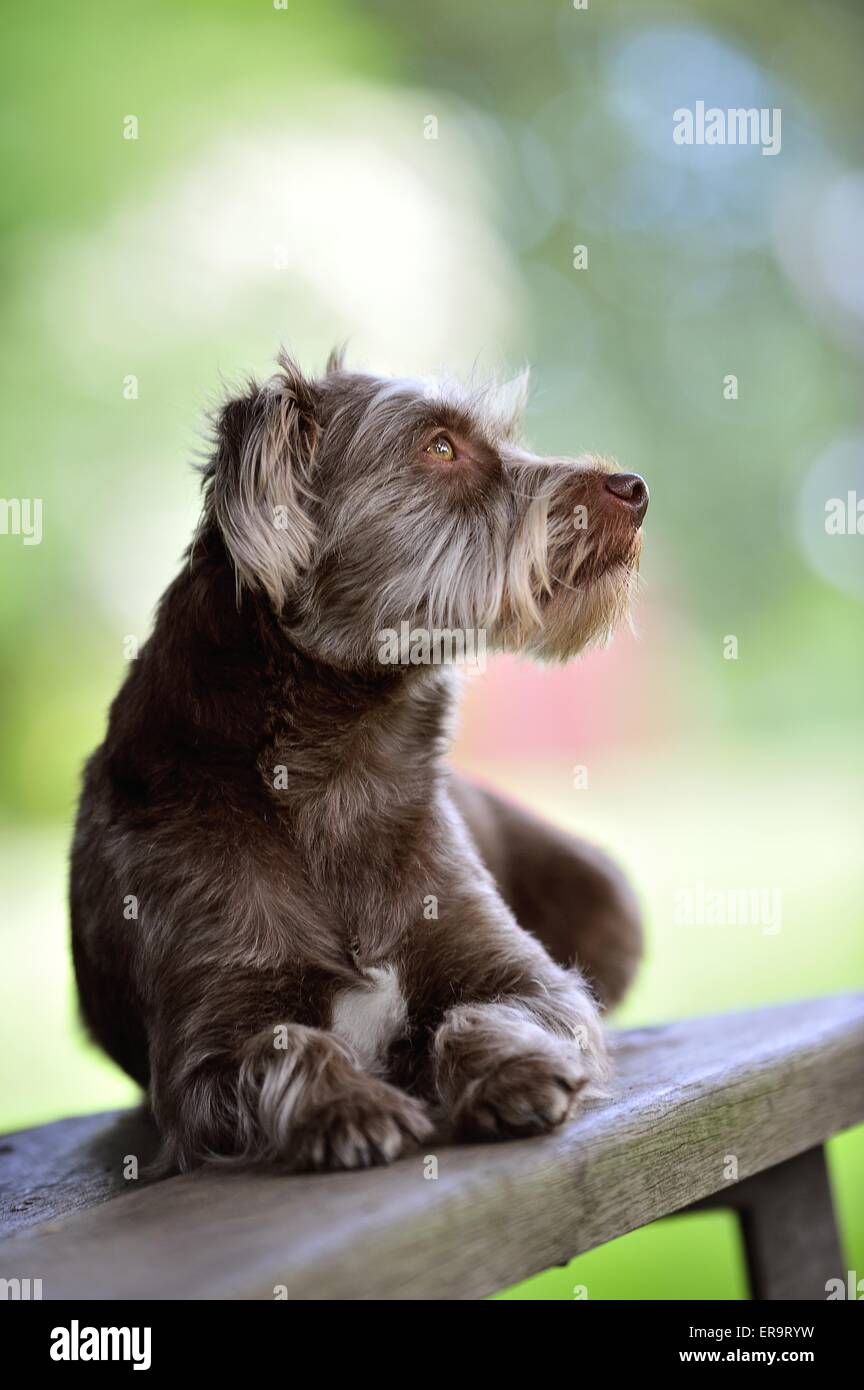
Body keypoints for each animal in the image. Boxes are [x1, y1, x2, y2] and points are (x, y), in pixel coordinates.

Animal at [69, 347, 650, 1173]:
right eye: (439, 446)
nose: (634, 488)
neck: (340, 770)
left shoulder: (526, 974)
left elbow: (494, 1008)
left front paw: (510, 1068)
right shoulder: (201, 1058)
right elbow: (286, 1046)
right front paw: (347, 1105)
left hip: (609, 900)